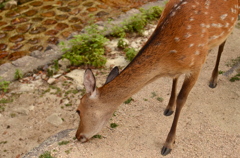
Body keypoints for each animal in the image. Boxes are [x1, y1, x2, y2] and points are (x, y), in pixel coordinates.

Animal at [76, 0, 239, 156]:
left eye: (78, 110)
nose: (77, 136)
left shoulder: (196, 64)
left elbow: (181, 99)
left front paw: (168, 143)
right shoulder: (178, 68)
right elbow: (174, 79)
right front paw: (169, 107)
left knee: (222, 45)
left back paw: (214, 79)